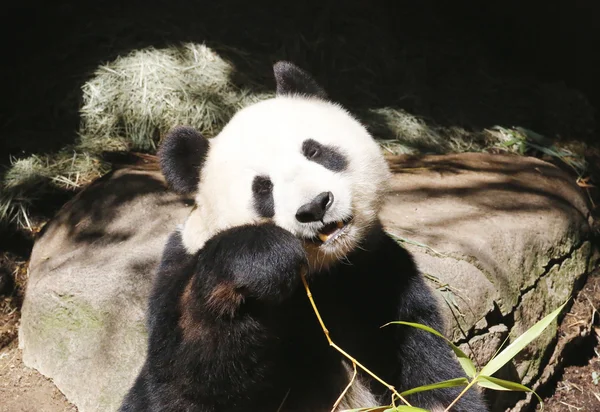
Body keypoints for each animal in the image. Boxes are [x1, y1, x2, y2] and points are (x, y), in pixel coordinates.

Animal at [120, 61, 488, 412]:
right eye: (262, 188)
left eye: (315, 151)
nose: (314, 206)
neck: (323, 271)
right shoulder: (180, 267)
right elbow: (187, 383)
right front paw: (262, 259)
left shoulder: (380, 274)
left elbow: (430, 372)